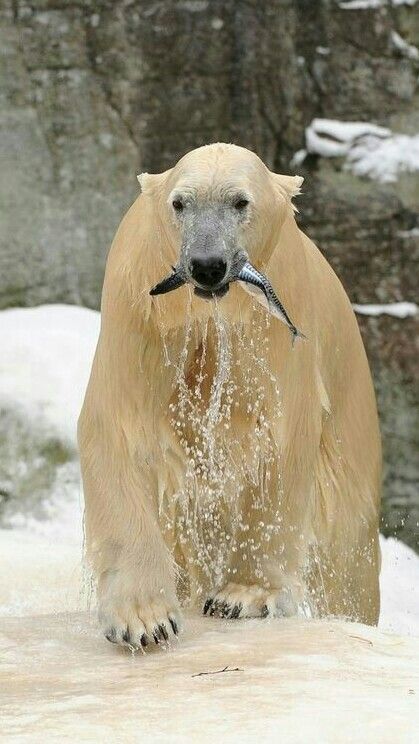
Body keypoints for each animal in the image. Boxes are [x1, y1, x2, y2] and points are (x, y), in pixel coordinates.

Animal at [77, 142, 382, 648]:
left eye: (240, 202)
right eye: (179, 203)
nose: (206, 265)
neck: (207, 312)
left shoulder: (274, 320)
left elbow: (277, 438)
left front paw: (241, 596)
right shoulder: (139, 308)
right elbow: (120, 429)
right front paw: (145, 619)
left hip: (352, 416)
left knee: (347, 555)